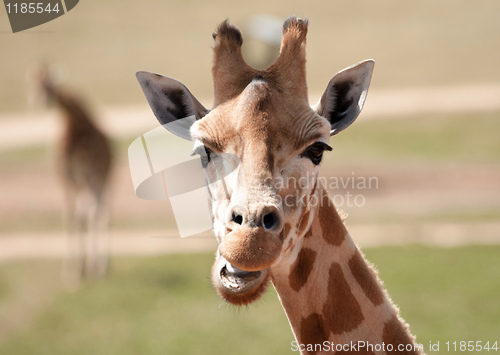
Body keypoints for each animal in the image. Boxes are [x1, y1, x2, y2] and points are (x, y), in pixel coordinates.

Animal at [29, 64, 113, 286]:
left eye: (48, 84)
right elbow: (70, 216)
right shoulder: (65, 176)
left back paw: (101, 267)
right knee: (93, 212)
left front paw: (86, 271)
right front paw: (71, 274)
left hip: (103, 178)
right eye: (33, 82)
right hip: (88, 182)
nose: (38, 99)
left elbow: (86, 215)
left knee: (101, 212)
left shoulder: (88, 172)